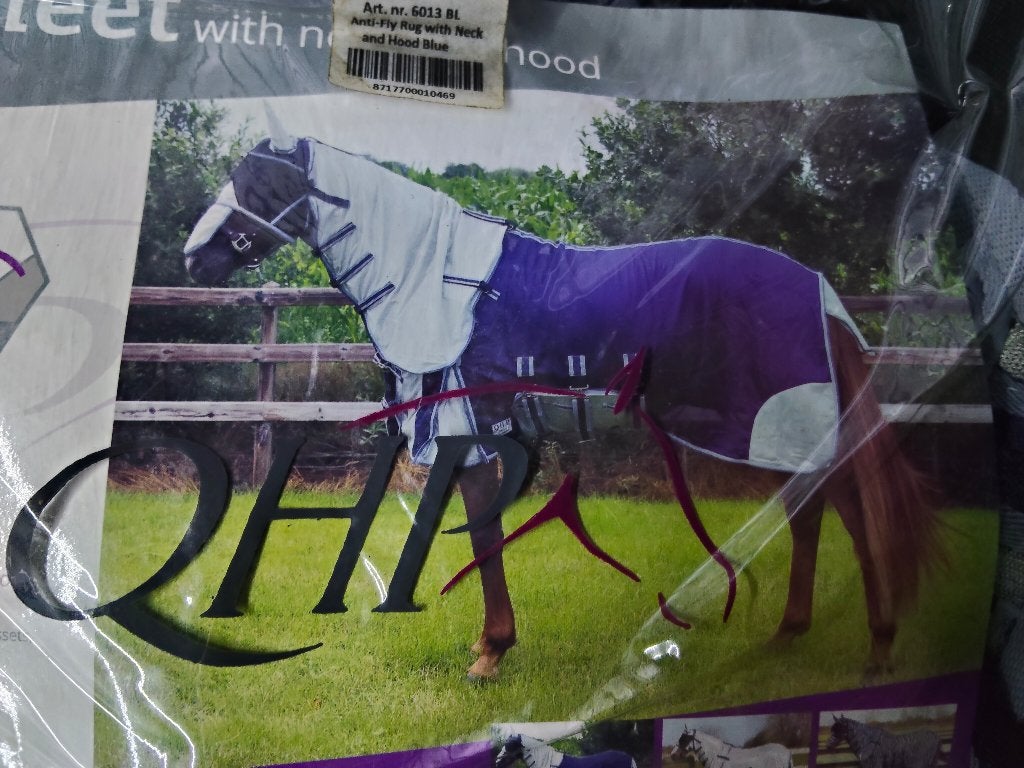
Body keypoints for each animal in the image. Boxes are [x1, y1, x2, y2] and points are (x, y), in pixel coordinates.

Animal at [181, 124, 940, 681]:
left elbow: (482, 533)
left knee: (847, 509)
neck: (436, 278)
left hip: (783, 422)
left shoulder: (465, 426)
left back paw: (878, 646)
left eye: (257, 184)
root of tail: (818, 290)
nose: (193, 259)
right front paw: (492, 645)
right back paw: (789, 635)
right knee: (809, 511)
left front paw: (490, 652)